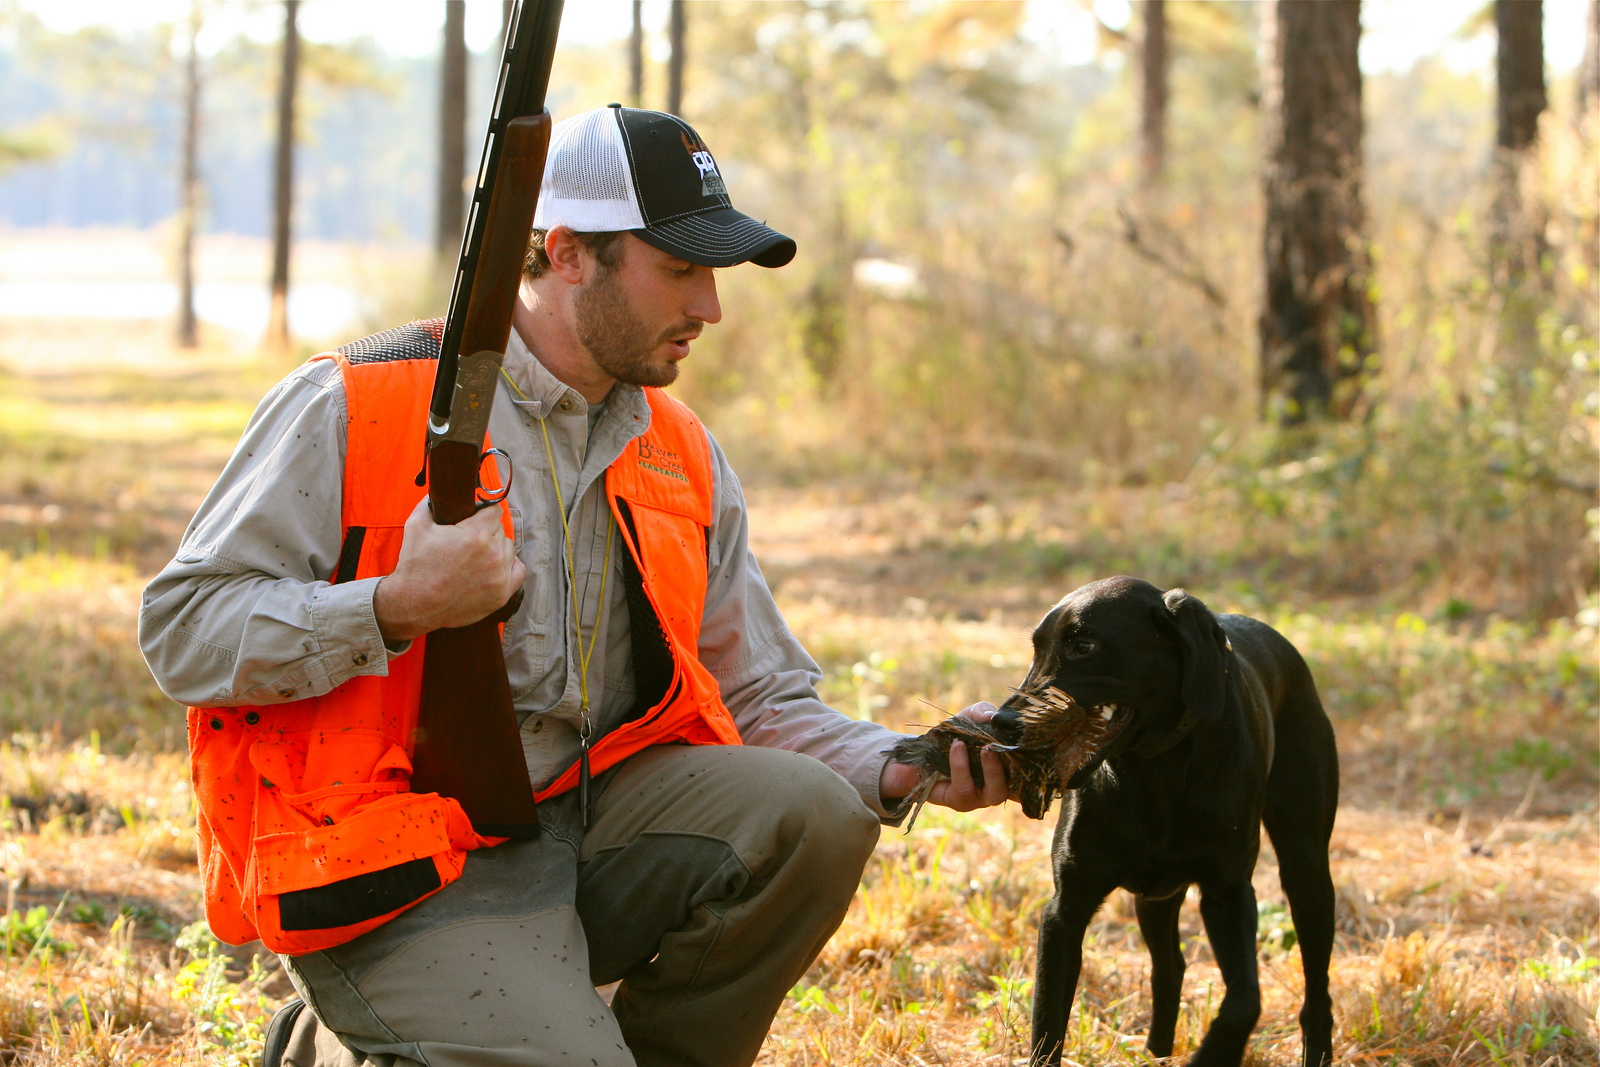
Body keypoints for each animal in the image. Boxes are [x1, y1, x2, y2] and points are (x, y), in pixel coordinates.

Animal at [1004, 579, 1344, 1062]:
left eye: (1084, 645)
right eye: (1037, 648)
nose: (1003, 723)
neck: (1155, 769)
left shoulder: (1228, 893)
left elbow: (1245, 999)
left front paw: (1214, 1053)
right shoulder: (1065, 910)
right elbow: (1047, 1027)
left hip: (1308, 873)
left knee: (1317, 992)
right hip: (1156, 897)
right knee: (1171, 968)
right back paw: (1157, 1052)